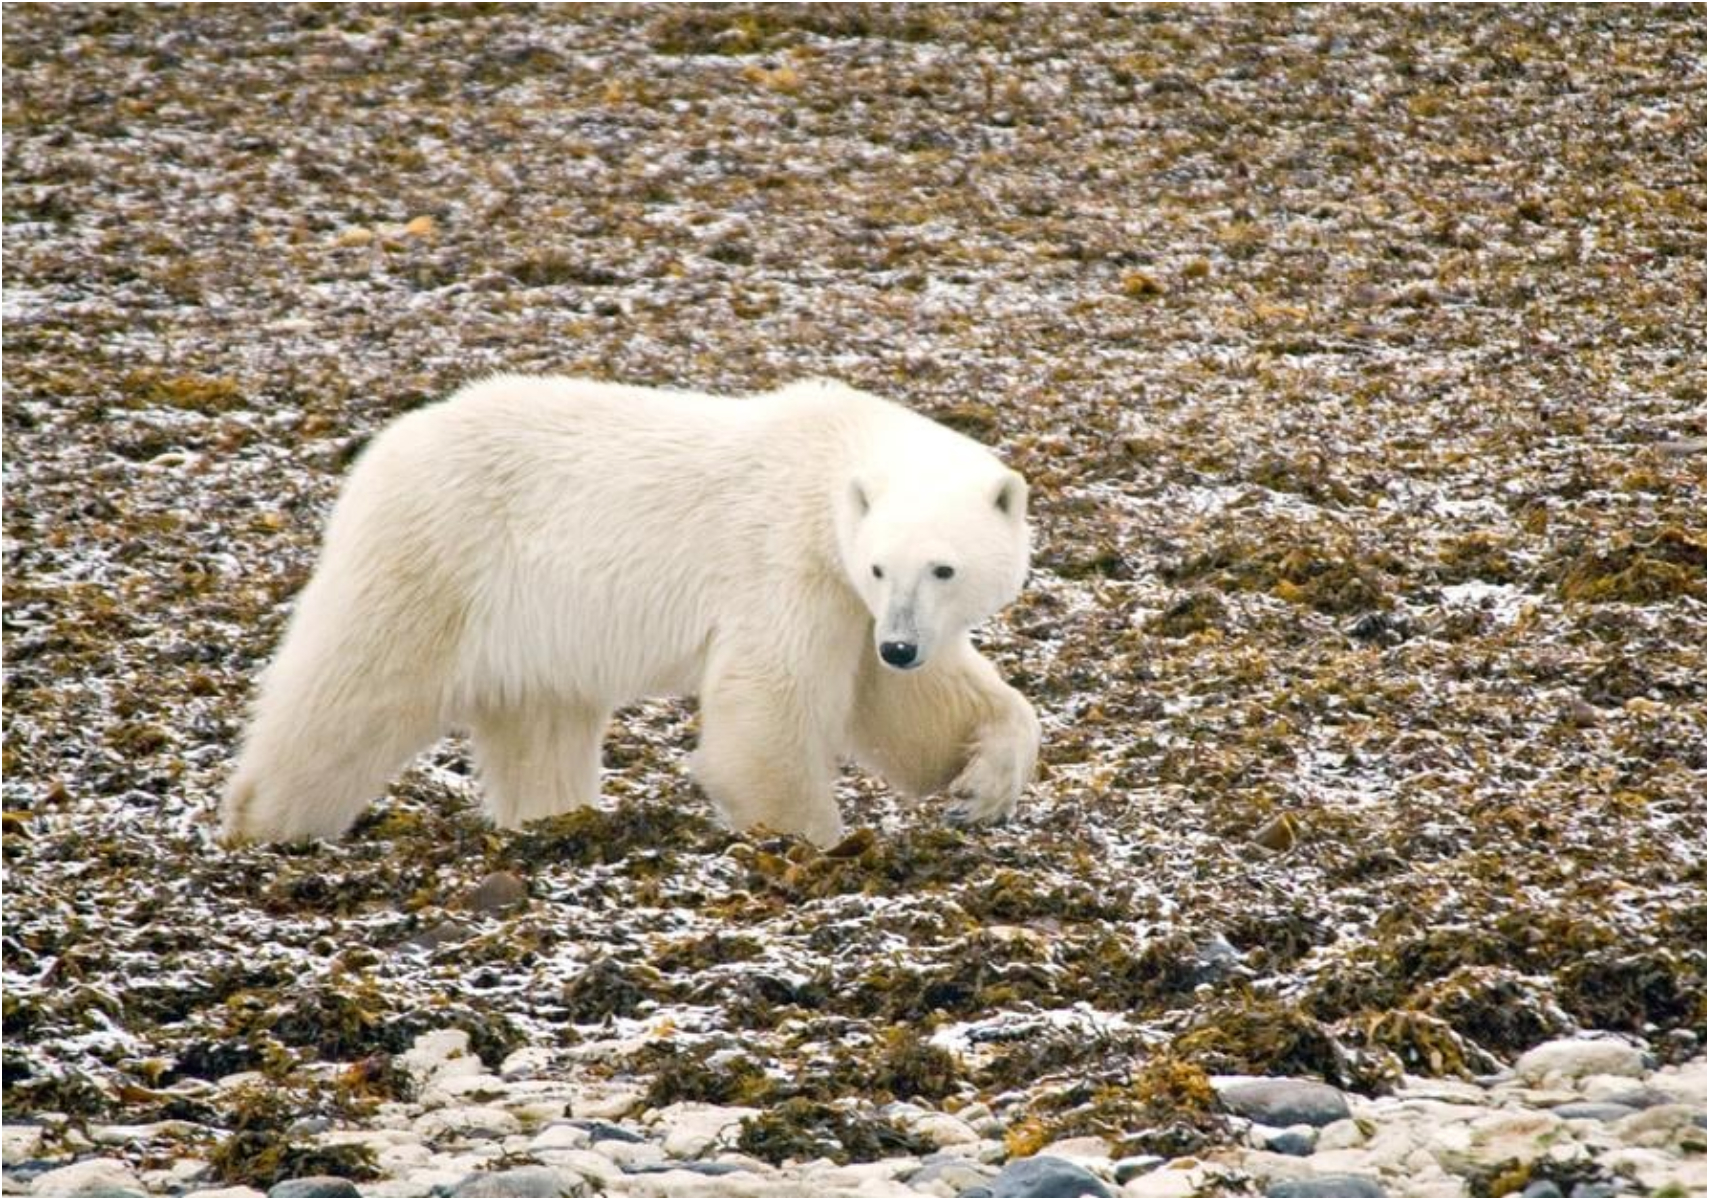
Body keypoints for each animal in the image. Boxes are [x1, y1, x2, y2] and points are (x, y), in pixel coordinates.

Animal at [218, 376, 1032, 847]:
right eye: (879, 565)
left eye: (943, 568)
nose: (902, 645)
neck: (827, 461)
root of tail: (384, 448)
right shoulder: (787, 561)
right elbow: (767, 716)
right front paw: (818, 843)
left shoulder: (849, 605)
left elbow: (913, 708)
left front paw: (979, 785)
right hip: (437, 553)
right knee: (353, 690)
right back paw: (267, 827)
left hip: (534, 626)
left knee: (541, 726)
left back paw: (553, 821)